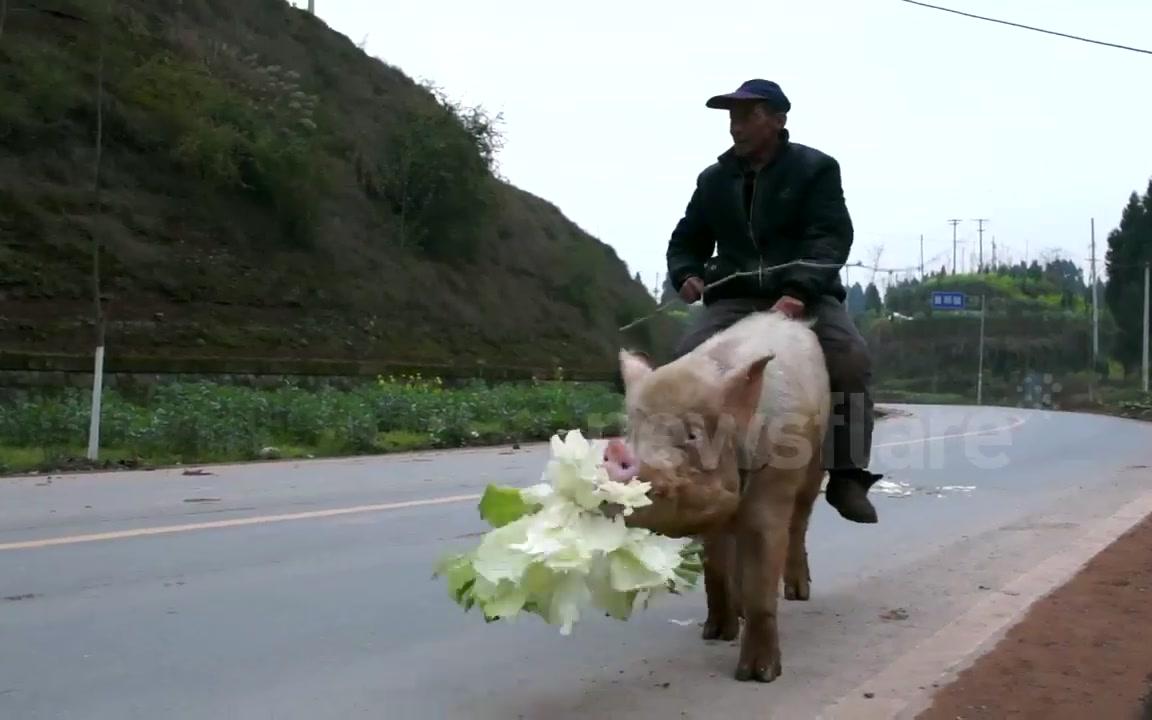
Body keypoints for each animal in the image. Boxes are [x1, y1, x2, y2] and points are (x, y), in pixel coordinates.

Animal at [603, 308, 829, 677]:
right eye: (632, 431)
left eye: (693, 435)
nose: (615, 453)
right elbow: (715, 569)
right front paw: (716, 634)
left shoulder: (772, 489)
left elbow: (761, 578)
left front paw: (758, 675)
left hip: (817, 463)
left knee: (799, 522)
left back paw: (798, 593)